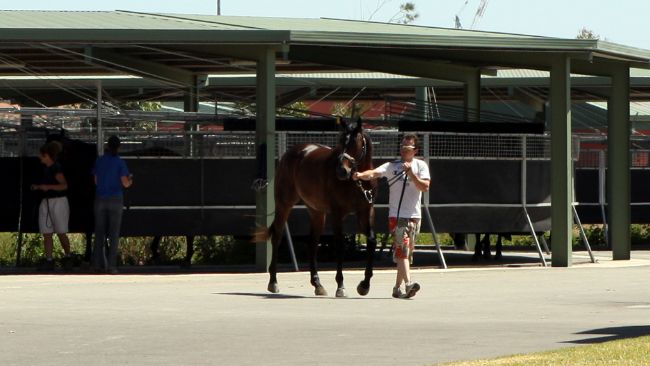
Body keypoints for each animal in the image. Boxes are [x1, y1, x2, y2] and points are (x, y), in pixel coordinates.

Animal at [253, 117, 374, 298]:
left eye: (355, 142)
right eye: (341, 141)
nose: (341, 171)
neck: (357, 181)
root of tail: (292, 153)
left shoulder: (365, 212)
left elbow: (372, 241)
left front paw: (364, 285)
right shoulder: (337, 213)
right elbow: (340, 246)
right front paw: (341, 286)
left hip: (316, 212)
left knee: (312, 243)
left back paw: (317, 284)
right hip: (284, 204)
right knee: (277, 236)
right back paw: (273, 282)